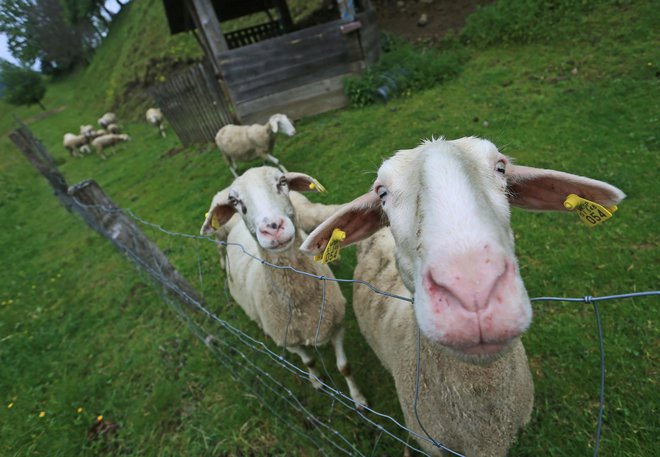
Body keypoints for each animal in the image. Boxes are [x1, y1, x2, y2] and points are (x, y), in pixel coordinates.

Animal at [199, 166, 368, 408]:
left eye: (282, 182)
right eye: (235, 201)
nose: (272, 228)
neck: (302, 303)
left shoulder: (336, 324)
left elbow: (344, 367)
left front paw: (358, 399)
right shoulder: (288, 340)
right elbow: (309, 361)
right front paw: (317, 381)